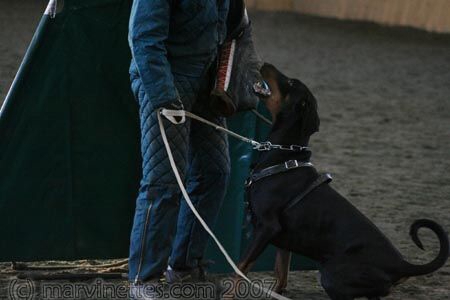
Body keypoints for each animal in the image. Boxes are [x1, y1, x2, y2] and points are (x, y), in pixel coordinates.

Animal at [237, 62, 448, 298]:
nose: (264, 64)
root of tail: (402, 264)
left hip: (331, 275)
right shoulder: (282, 241)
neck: (283, 157)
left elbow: (240, 268)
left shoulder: (267, 227)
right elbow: (280, 277)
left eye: (291, 82)